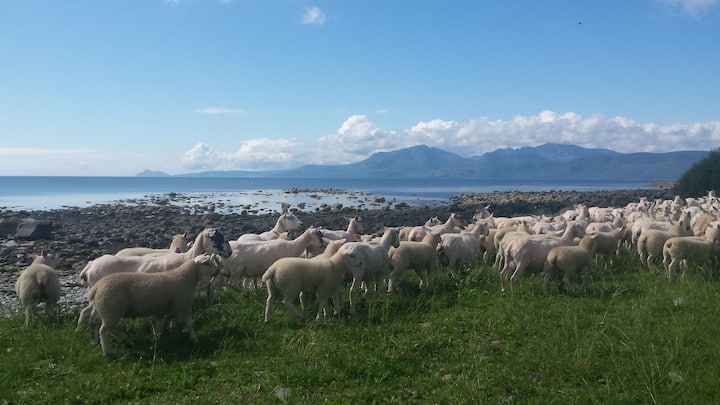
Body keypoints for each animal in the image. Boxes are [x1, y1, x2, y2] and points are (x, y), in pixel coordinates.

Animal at [77, 253, 227, 355]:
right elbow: (189, 323)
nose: (217, 271)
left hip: (107, 310)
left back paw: (125, 340)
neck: (186, 276)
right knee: (104, 330)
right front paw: (194, 339)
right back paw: (108, 352)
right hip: (111, 309)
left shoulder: (161, 311)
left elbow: (159, 327)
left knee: (107, 327)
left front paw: (158, 341)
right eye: (206, 263)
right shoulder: (183, 304)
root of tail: (97, 287)